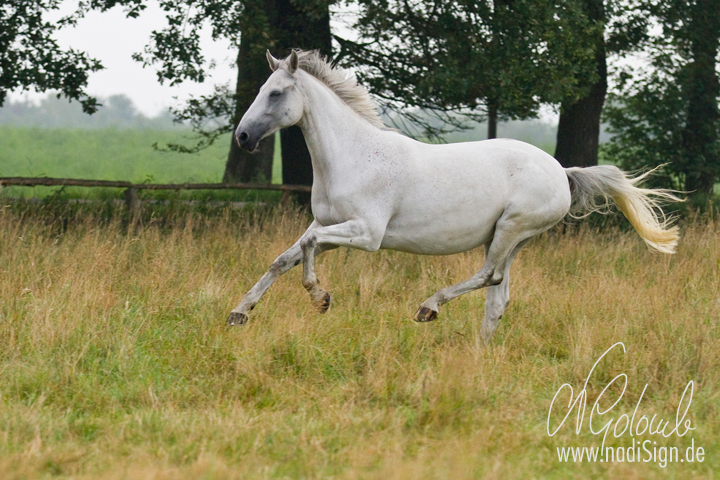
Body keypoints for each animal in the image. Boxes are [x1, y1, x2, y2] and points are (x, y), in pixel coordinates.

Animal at [226, 49, 680, 342]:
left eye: (276, 92)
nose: (243, 137)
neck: (352, 156)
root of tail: (561, 171)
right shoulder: (328, 224)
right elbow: (284, 258)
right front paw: (238, 314)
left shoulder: (366, 234)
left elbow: (307, 249)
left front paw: (320, 299)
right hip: (512, 239)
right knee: (498, 298)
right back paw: (479, 356)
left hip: (511, 229)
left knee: (488, 276)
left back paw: (429, 308)